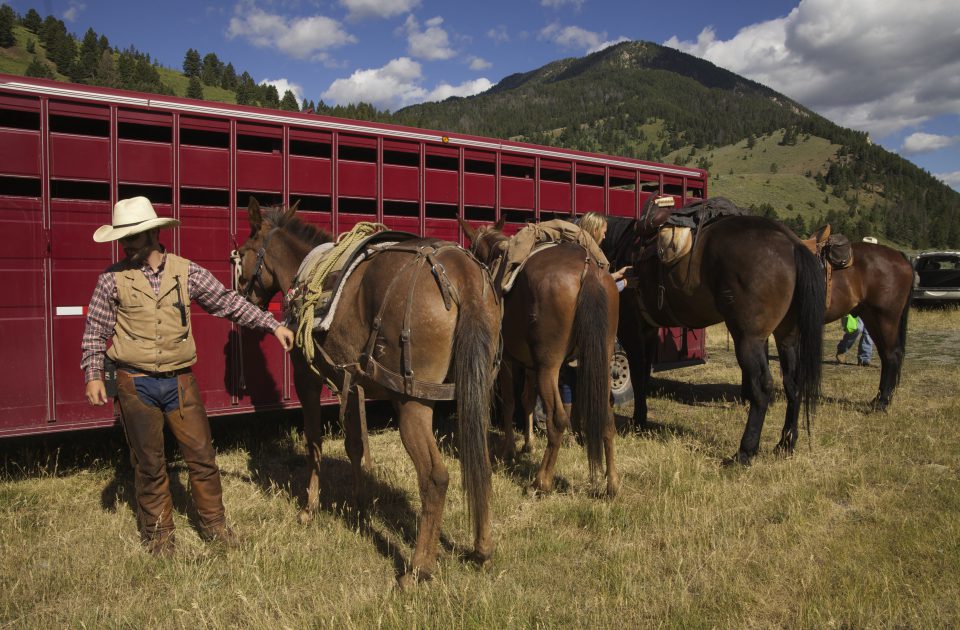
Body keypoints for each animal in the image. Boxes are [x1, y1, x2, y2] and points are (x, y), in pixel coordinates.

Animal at [234, 201, 502, 588]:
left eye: (240, 254)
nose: (242, 299)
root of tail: (462, 274)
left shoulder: (307, 379)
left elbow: (313, 441)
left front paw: (309, 508)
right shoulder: (353, 380)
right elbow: (355, 446)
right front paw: (361, 505)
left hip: (412, 404)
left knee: (435, 477)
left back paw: (418, 568)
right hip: (474, 394)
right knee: (479, 461)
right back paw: (481, 549)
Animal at [460, 220, 624, 502]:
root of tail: (589, 270)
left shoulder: (508, 361)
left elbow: (510, 403)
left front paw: (508, 450)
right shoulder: (530, 366)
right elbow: (527, 400)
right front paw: (528, 445)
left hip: (550, 368)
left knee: (557, 420)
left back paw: (541, 481)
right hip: (598, 362)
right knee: (606, 415)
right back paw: (611, 484)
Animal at [608, 212, 824, 464]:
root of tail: (792, 243)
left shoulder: (630, 330)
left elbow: (636, 375)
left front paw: (637, 420)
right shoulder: (648, 331)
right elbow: (643, 376)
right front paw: (641, 420)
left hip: (749, 340)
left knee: (762, 387)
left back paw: (744, 452)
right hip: (787, 336)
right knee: (793, 384)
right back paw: (785, 443)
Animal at [820, 242, 912, 410]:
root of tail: (900, 256)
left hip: (886, 318)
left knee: (892, 354)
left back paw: (882, 402)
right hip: (872, 318)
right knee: (885, 356)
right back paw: (877, 399)